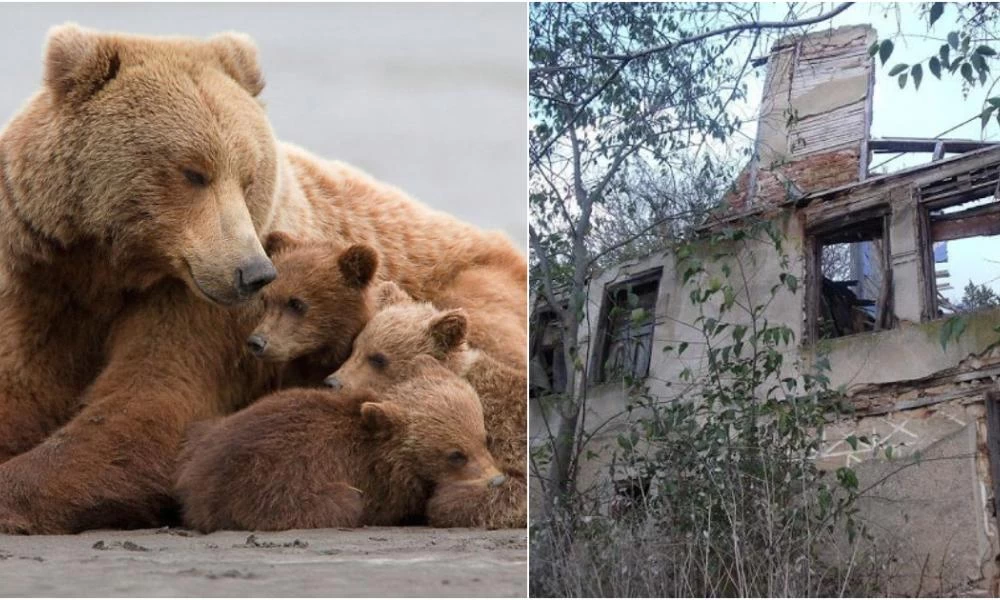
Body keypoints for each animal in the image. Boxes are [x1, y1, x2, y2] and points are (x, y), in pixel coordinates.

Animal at [0, 24, 528, 536]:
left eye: (248, 174)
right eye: (194, 172)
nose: (253, 271)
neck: (109, 270)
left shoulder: (196, 308)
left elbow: (153, 403)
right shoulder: (39, 280)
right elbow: (25, 390)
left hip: (471, 287)